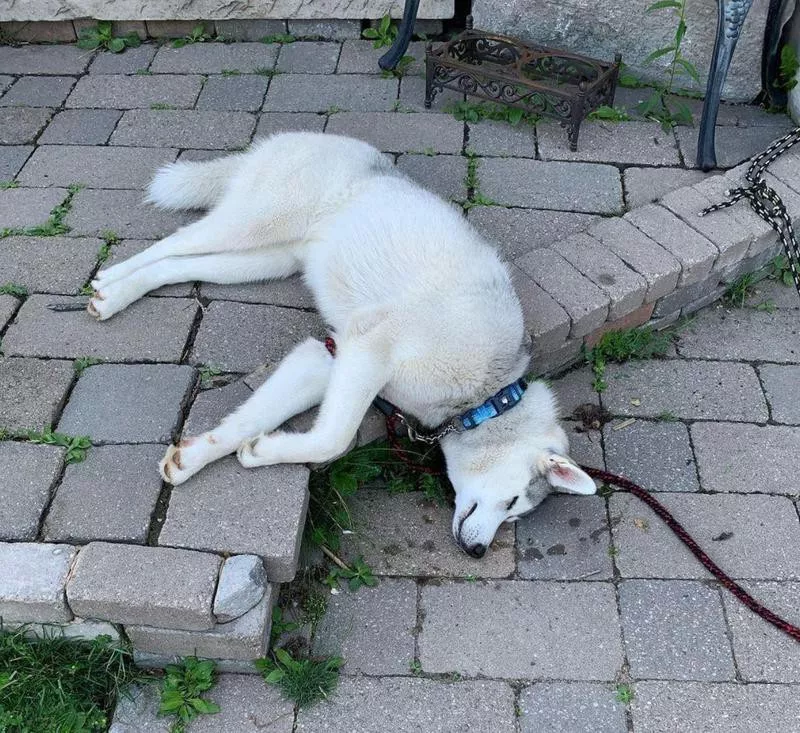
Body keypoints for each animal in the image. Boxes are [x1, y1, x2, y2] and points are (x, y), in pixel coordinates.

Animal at [89, 133, 592, 556]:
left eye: (515, 514)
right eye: (512, 502)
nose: (478, 552)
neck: (487, 394)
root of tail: (307, 136)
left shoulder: (327, 356)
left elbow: (248, 421)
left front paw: (197, 457)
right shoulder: (367, 348)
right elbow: (333, 438)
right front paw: (264, 452)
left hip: (262, 260)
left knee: (179, 264)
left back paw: (117, 293)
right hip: (251, 226)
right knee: (174, 241)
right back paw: (109, 279)